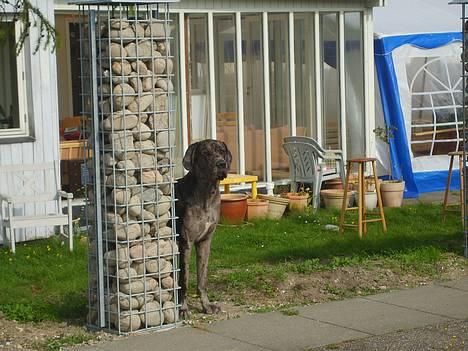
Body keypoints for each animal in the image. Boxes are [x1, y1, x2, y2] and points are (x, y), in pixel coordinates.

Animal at [176, 139, 232, 318]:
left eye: (222, 151)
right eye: (206, 153)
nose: (221, 164)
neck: (206, 193)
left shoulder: (205, 242)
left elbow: (202, 278)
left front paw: (206, 305)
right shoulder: (185, 243)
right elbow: (184, 280)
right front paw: (183, 309)